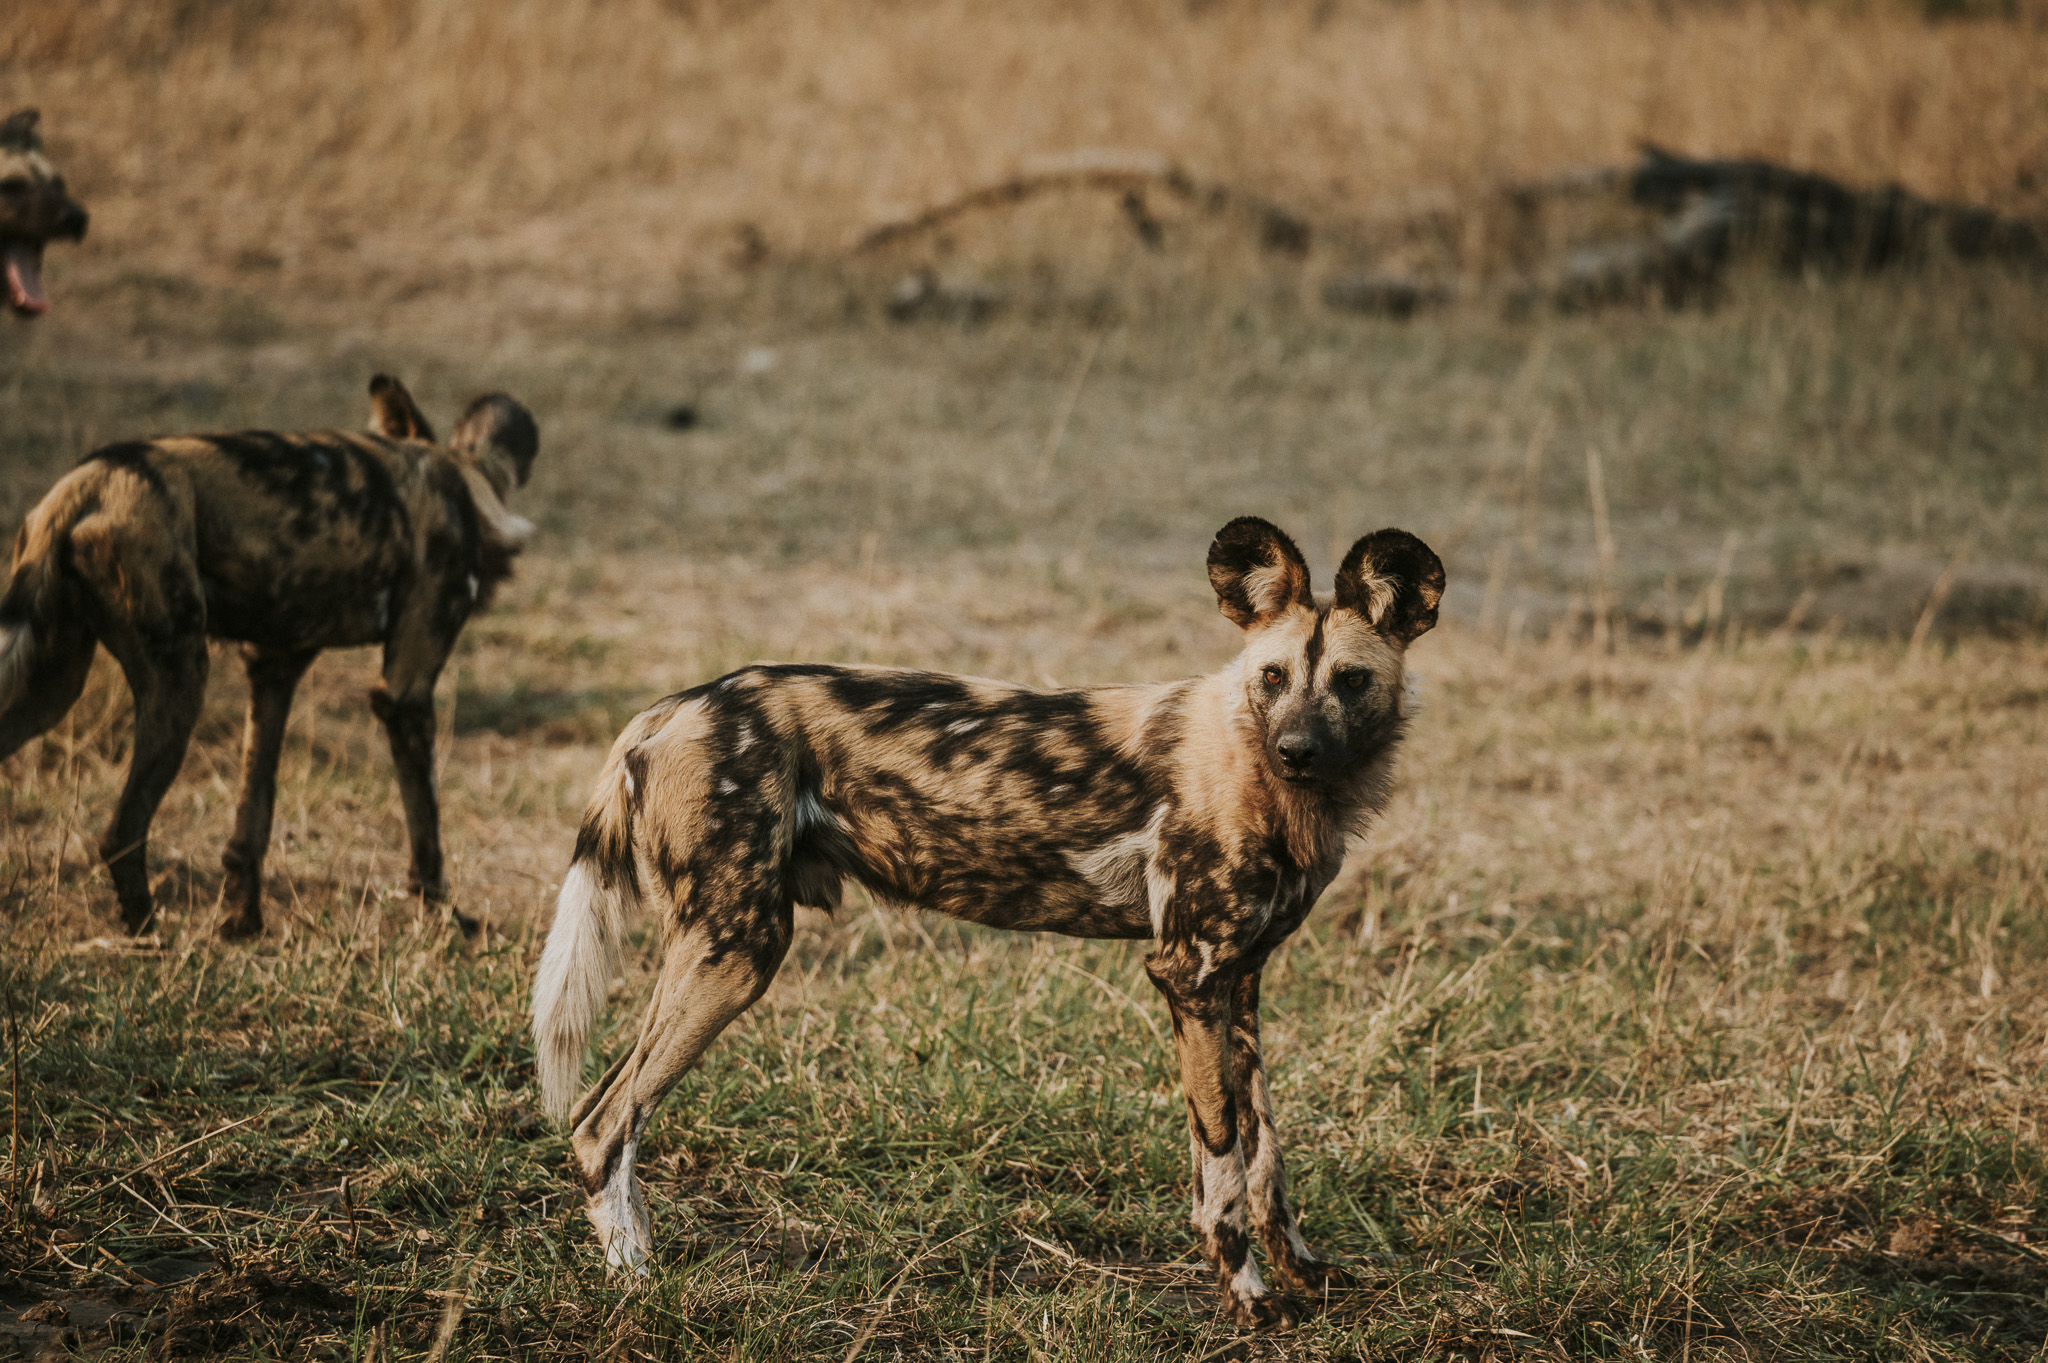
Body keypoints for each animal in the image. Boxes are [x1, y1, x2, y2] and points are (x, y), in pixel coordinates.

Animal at [0, 376, 539, 938]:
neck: (454, 474)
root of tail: (87, 485)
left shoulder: (274, 667)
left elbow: (252, 819)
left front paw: (244, 924)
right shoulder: (404, 692)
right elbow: (426, 826)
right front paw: (445, 917)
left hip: (50, 688)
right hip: (179, 680)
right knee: (121, 832)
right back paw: (149, 930)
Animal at [532, 516, 1444, 1327]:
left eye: (1351, 680)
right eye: (1273, 677)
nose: (1297, 749)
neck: (1270, 779)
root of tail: (671, 706)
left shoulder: (1241, 980)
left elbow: (1266, 1153)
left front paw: (1303, 1270)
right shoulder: (1188, 974)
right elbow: (1220, 1158)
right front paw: (1249, 1295)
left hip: (724, 947)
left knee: (600, 1117)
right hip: (736, 950)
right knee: (602, 1123)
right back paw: (638, 1283)